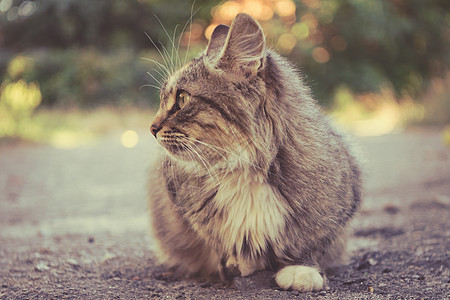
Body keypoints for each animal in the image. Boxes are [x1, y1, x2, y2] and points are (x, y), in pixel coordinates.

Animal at [148, 12, 362, 292]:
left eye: (182, 99)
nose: (151, 128)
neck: (244, 168)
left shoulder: (339, 204)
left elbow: (310, 245)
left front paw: (300, 270)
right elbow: (230, 246)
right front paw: (239, 264)